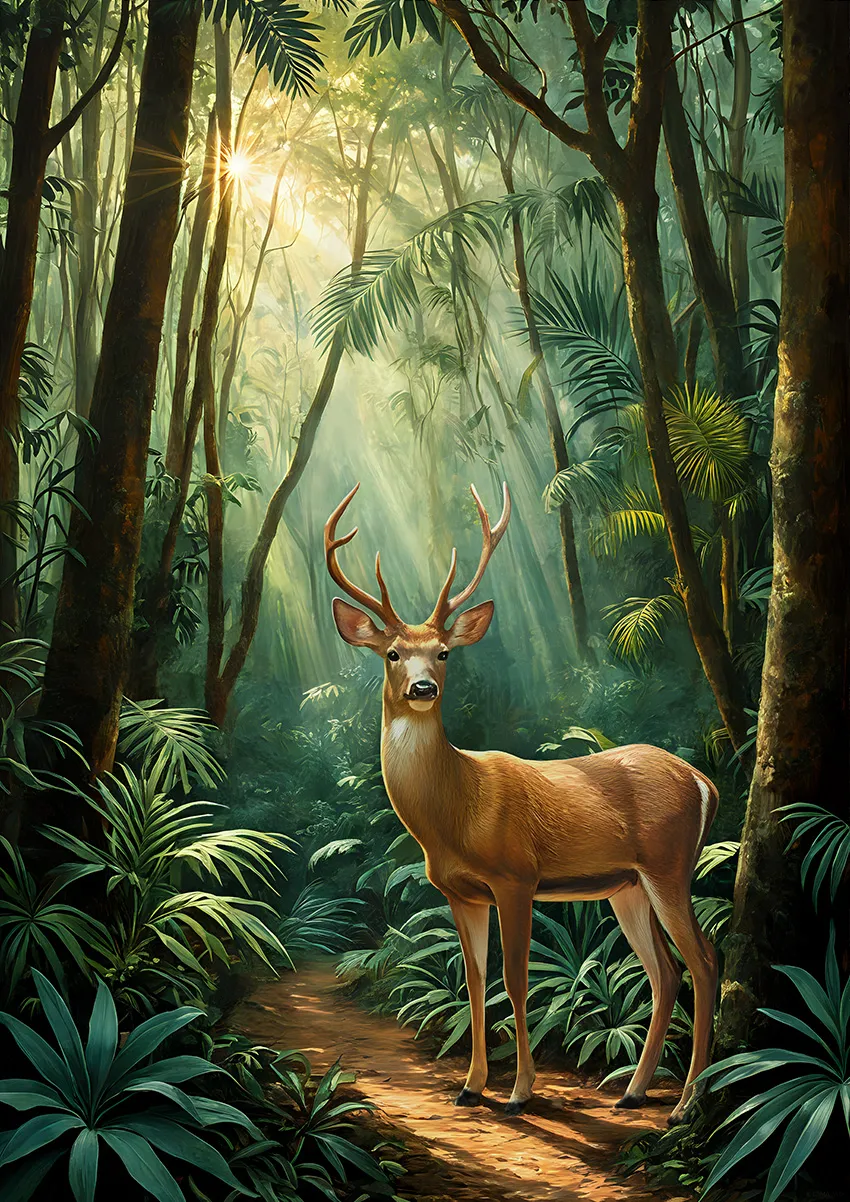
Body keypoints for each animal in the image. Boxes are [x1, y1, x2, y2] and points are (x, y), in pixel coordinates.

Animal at [324, 481, 719, 1125]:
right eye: (392, 654)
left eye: (444, 653)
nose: (422, 688)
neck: (458, 811)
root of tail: (702, 781)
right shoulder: (460, 892)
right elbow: (474, 980)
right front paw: (470, 1086)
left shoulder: (517, 877)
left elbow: (514, 979)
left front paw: (519, 1092)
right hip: (627, 885)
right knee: (664, 973)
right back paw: (633, 1092)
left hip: (669, 864)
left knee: (703, 962)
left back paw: (685, 1106)